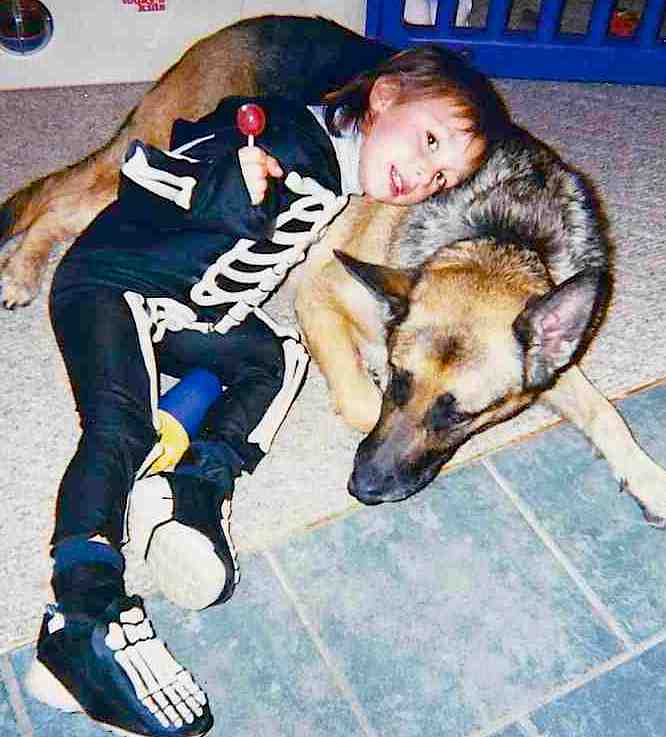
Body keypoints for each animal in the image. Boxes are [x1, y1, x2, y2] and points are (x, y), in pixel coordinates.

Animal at [293, 130, 666, 521]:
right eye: (399, 379)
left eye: (459, 415)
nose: (361, 487)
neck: (505, 240)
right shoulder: (317, 295)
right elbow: (363, 403)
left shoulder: (549, 366)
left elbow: (604, 412)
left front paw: (647, 476)